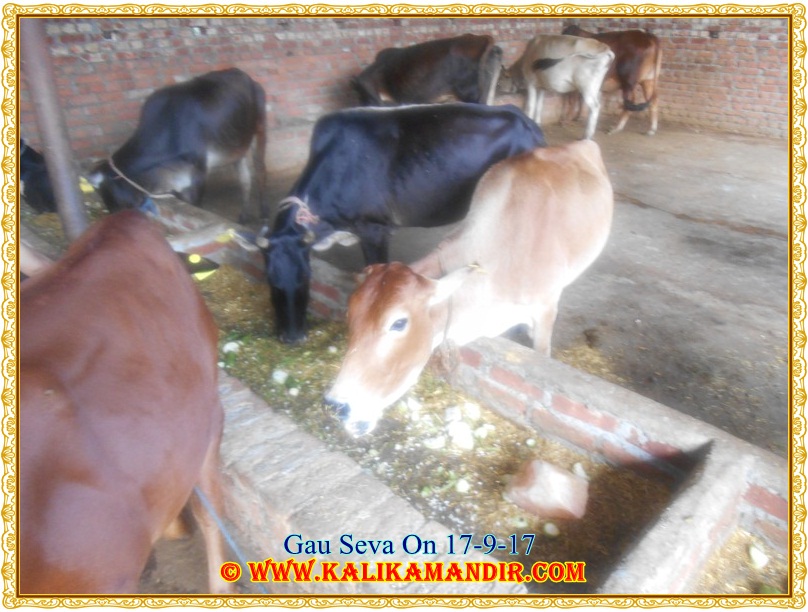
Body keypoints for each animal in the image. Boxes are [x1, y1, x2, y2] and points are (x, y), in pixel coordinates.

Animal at [87, 68, 267, 224]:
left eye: (113, 197)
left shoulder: (198, 176)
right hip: (236, 145)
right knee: (244, 179)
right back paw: (243, 216)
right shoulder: (177, 186)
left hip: (260, 129)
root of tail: (246, 76)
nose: (113, 216)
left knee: (259, 170)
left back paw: (263, 212)